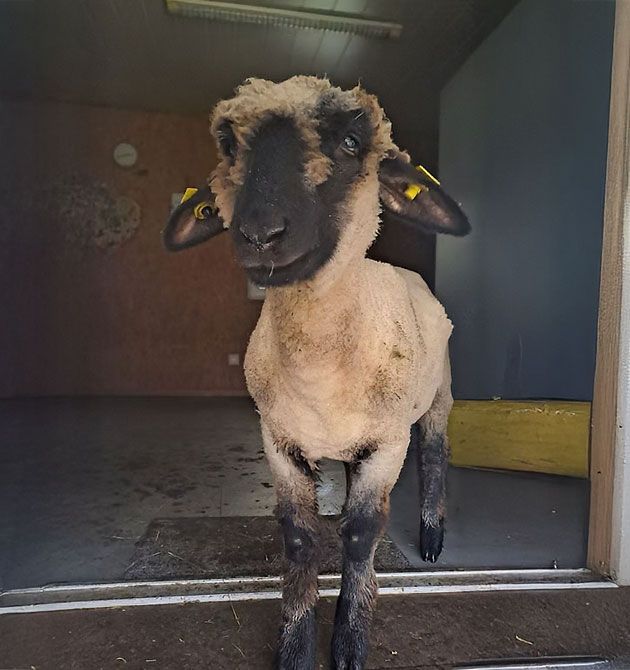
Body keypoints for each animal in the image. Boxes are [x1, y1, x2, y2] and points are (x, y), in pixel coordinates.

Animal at [163, 75, 470, 670]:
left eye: (352, 142)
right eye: (229, 145)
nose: (260, 234)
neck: (320, 369)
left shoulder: (389, 443)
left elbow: (360, 536)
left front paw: (349, 644)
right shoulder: (278, 440)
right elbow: (302, 539)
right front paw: (296, 648)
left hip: (437, 397)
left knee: (436, 456)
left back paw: (430, 537)